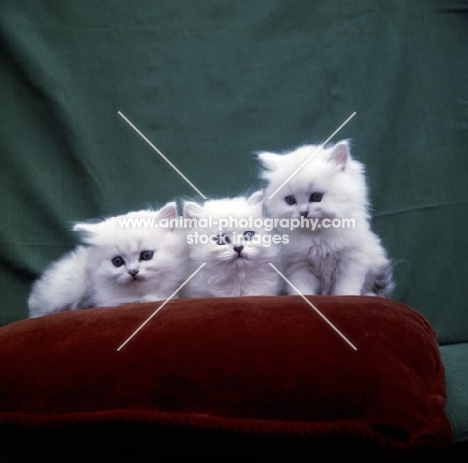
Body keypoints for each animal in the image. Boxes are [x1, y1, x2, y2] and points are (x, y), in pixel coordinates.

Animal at [258, 140, 394, 298]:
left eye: (316, 197)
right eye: (290, 200)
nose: (303, 212)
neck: (319, 237)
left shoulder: (351, 260)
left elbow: (346, 288)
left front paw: (347, 297)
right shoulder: (299, 265)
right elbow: (301, 289)